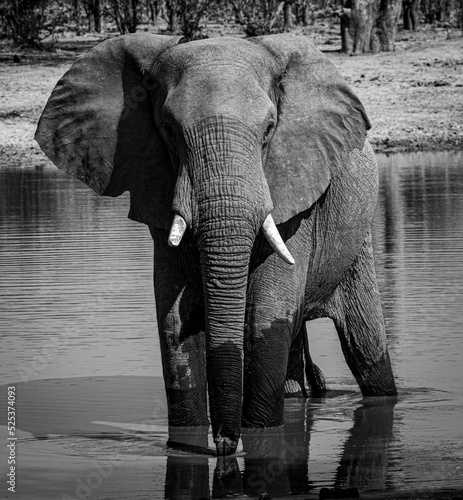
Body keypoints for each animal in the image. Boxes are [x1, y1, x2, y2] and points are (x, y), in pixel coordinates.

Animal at [36, 33, 398, 458]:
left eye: (269, 129)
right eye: (169, 130)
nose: (225, 444)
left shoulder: (296, 195)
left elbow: (264, 315)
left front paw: (257, 442)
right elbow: (174, 323)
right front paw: (190, 442)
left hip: (358, 241)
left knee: (365, 348)